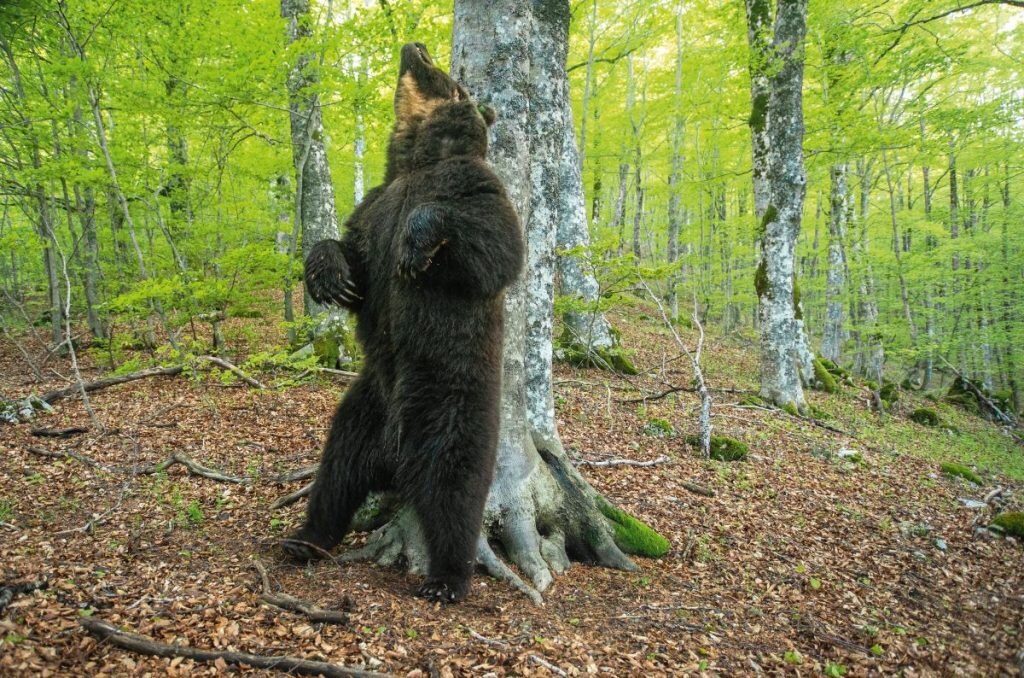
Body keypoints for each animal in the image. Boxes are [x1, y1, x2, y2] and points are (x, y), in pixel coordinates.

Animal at [283, 42, 525, 604]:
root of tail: (394, 453)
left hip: (451, 400)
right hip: (363, 407)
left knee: (455, 489)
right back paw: (304, 539)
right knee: (336, 474)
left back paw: (447, 578)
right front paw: (330, 277)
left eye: (449, 77)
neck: (416, 159)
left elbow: (496, 242)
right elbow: (353, 252)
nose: (416, 46)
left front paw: (415, 247)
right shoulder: (375, 205)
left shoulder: (475, 185)